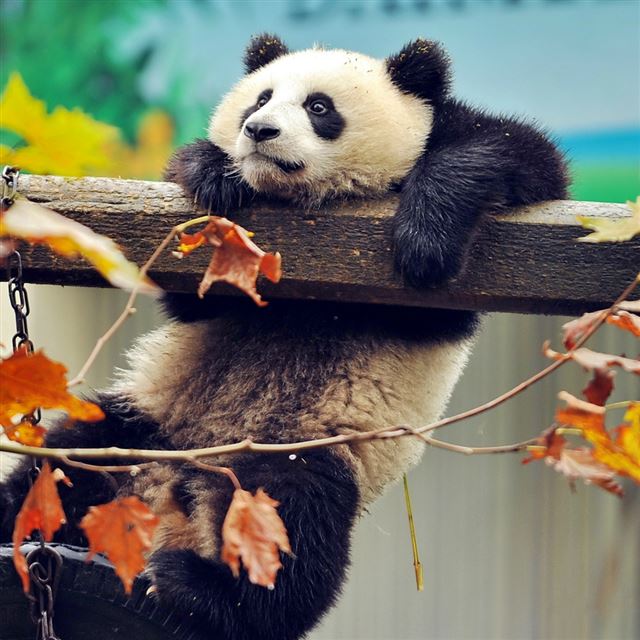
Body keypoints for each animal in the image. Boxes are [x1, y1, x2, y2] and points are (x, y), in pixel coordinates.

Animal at [0, 34, 568, 640]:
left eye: (319, 107)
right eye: (260, 98)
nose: (258, 131)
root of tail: (176, 492)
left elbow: (517, 157)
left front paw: (426, 238)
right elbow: (195, 293)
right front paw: (212, 171)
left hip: (303, 449)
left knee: (296, 528)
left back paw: (199, 591)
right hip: (145, 423)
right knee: (61, 466)